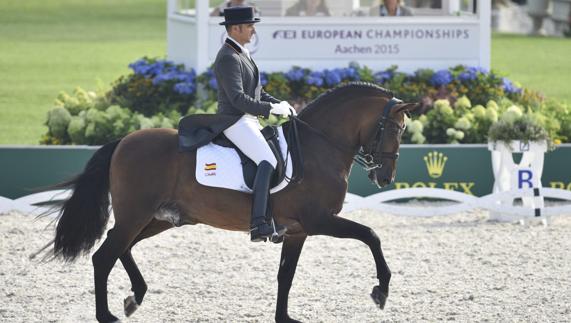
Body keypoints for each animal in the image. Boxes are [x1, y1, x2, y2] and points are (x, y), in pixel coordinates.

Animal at [51, 83, 418, 323]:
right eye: (396, 130)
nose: (385, 178)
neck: (319, 148)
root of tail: (123, 141)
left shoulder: (298, 231)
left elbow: (286, 276)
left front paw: (284, 318)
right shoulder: (320, 220)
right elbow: (371, 235)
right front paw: (381, 291)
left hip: (157, 219)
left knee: (122, 248)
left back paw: (134, 297)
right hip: (136, 215)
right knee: (104, 256)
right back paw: (108, 315)